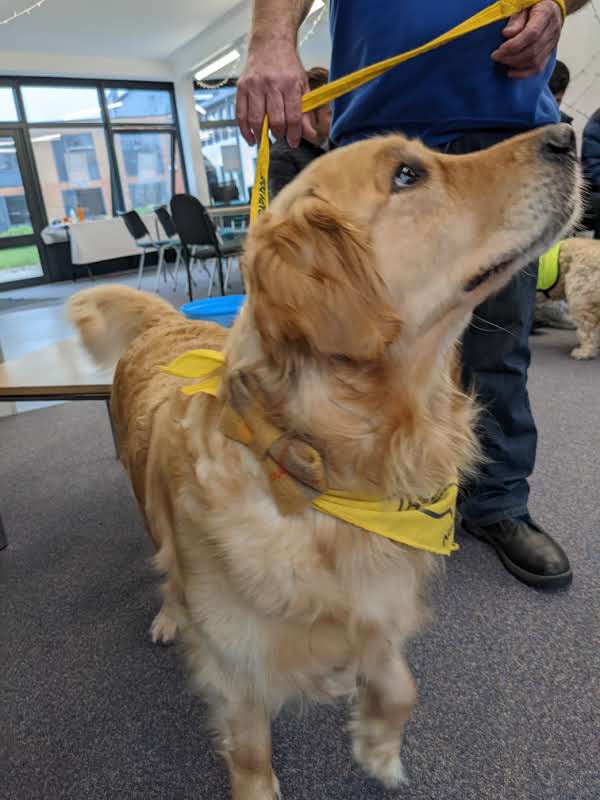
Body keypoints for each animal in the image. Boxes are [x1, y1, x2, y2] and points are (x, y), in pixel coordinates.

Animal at [68, 126, 580, 800]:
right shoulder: (237, 666)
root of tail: (169, 320)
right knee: (169, 568)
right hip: (150, 511)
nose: (567, 136)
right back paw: (169, 616)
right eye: (408, 175)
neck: (320, 467)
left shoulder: (379, 604)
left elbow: (399, 684)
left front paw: (379, 746)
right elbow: (251, 752)